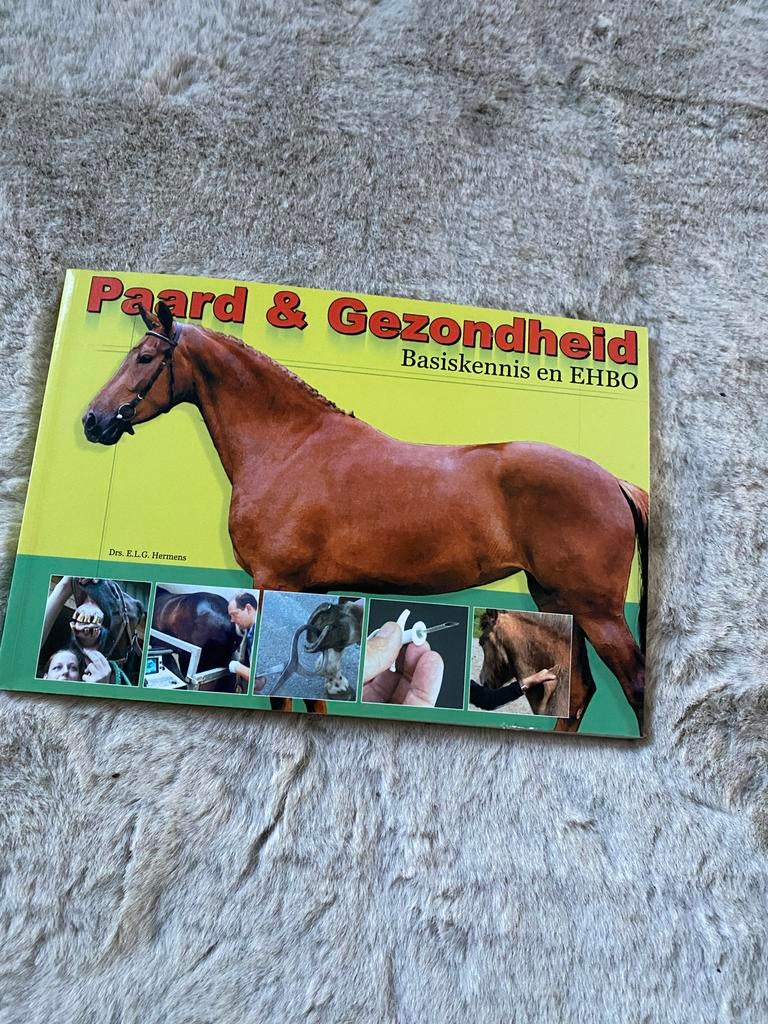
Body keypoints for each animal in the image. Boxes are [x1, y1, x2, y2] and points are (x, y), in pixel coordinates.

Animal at [83, 301, 649, 731]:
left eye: (146, 357)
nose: (92, 420)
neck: (289, 447)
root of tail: (613, 480)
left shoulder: (275, 582)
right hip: (559, 603)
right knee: (579, 690)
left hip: (597, 612)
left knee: (632, 682)